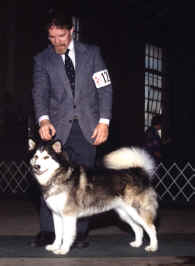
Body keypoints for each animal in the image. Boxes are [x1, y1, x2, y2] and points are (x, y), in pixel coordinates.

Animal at [28, 138, 158, 255]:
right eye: (36, 157)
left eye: (46, 157)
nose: (36, 166)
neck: (58, 177)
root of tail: (138, 172)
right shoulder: (56, 214)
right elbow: (58, 233)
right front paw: (55, 246)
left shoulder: (68, 215)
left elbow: (66, 235)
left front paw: (63, 249)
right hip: (125, 213)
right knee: (138, 228)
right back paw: (137, 243)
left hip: (137, 211)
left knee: (151, 228)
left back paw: (153, 247)